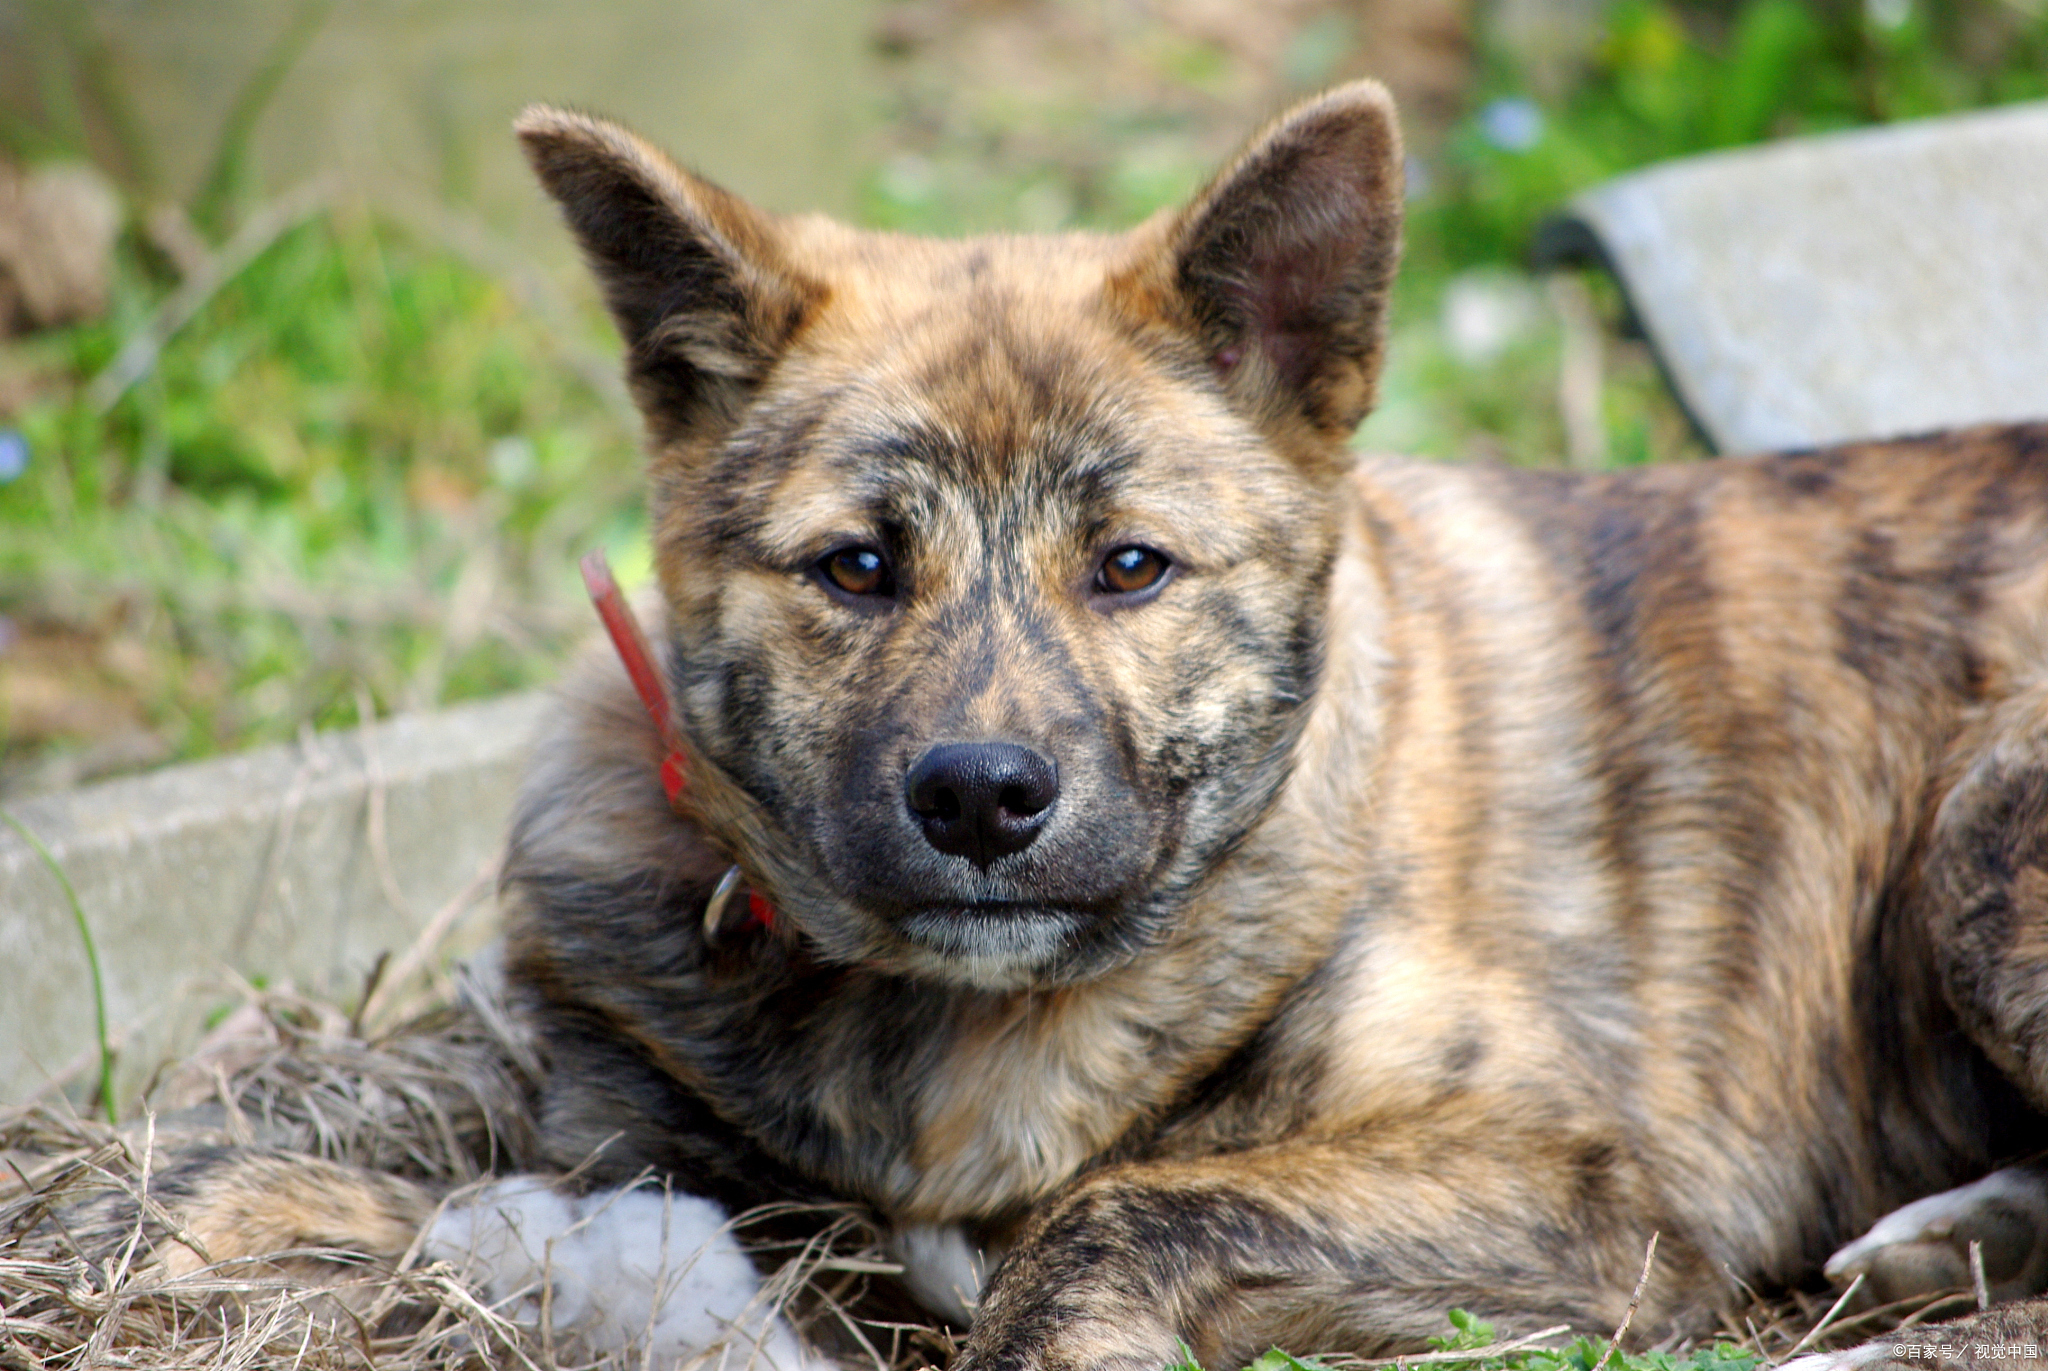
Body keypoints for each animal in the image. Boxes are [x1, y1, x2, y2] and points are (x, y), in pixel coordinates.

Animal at [48, 85, 2048, 1368]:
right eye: (856, 566)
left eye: (1132, 566)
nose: (982, 799)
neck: (960, 1029)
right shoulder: (621, 1128)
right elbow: (320, 1173)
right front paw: (173, 1211)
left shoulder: (1580, 1180)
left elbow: (1124, 1204)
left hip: (1977, 830)